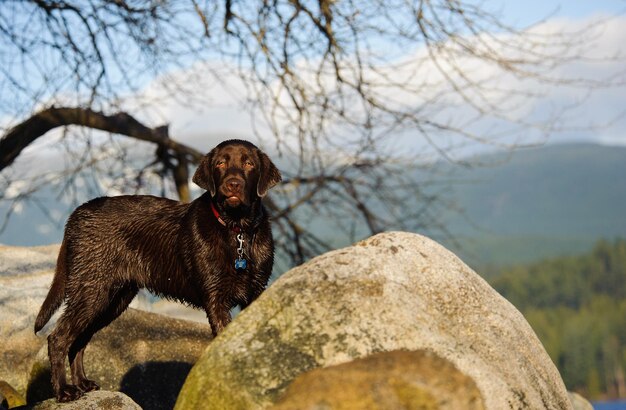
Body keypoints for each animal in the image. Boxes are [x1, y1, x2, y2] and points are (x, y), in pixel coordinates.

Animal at [31, 139, 280, 402]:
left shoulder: (256, 293)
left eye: (249, 163)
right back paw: (63, 390)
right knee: (58, 338)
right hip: (92, 291)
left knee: (78, 340)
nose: (233, 184)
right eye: (221, 163)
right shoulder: (216, 299)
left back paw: (82, 383)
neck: (237, 231)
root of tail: (77, 215)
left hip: (113, 300)